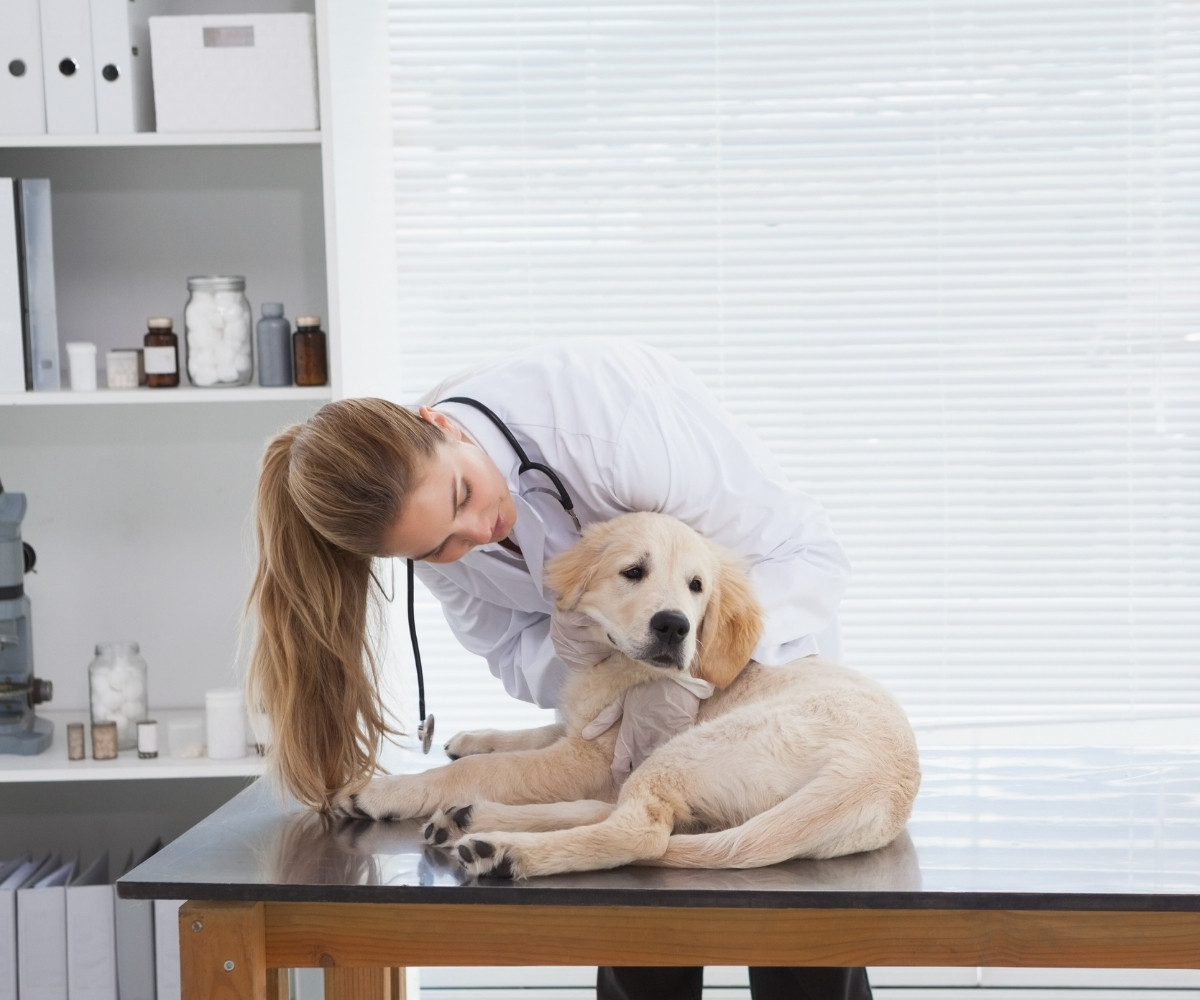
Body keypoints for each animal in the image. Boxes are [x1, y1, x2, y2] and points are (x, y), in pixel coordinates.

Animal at [333, 513, 921, 873]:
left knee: (640, 832)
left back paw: (501, 848)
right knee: (615, 810)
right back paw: (470, 820)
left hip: (689, 750)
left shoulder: (587, 755)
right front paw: (476, 736)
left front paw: (382, 791)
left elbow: (480, 769)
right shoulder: (581, 730)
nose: (674, 626)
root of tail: (876, 780)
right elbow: (530, 733)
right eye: (633, 572)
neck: (615, 659)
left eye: (697, 586)